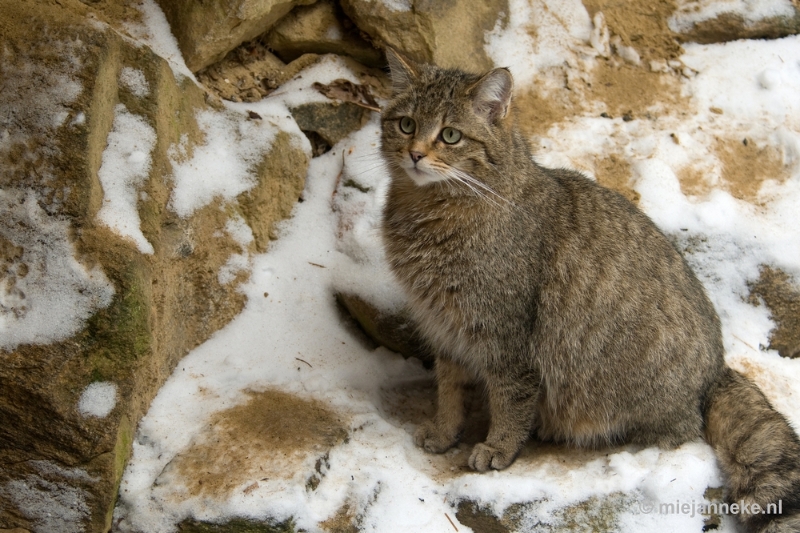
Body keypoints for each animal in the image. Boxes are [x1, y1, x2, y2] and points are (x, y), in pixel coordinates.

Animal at [380, 47, 800, 528]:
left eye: (450, 135)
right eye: (406, 124)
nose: (415, 154)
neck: (430, 214)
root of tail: (716, 371)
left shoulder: (507, 340)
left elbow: (509, 402)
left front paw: (499, 446)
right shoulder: (446, 331)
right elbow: (449, 392)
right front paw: (445, 431)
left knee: (681, 432)